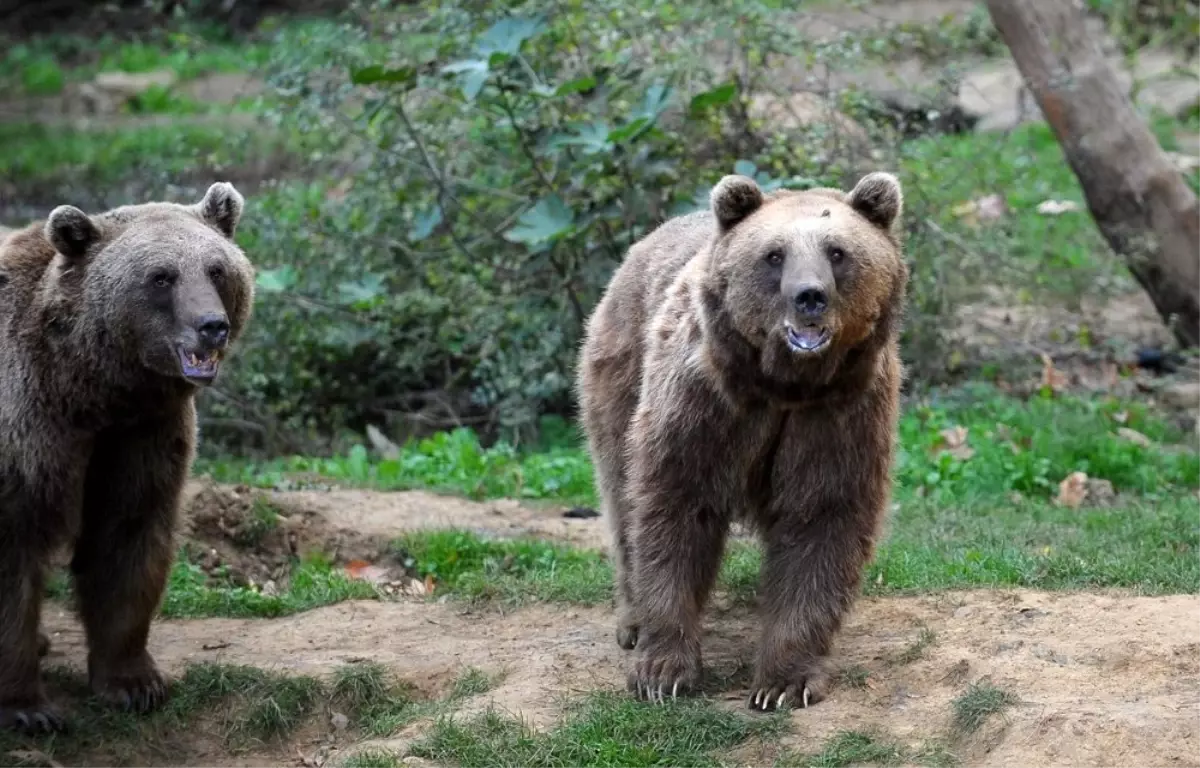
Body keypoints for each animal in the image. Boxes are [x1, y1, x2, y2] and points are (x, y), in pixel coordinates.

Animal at [576, 170, 902, 710]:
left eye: (837, 251)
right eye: (774, 255)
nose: (809, 296)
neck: (784, 386)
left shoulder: (838, 416)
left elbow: (821, 520)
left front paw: (784, 681)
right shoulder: (706, 406)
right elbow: (674, 511)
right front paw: (662, 671)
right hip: (618, 368)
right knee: (620, 494)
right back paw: (632, 621)